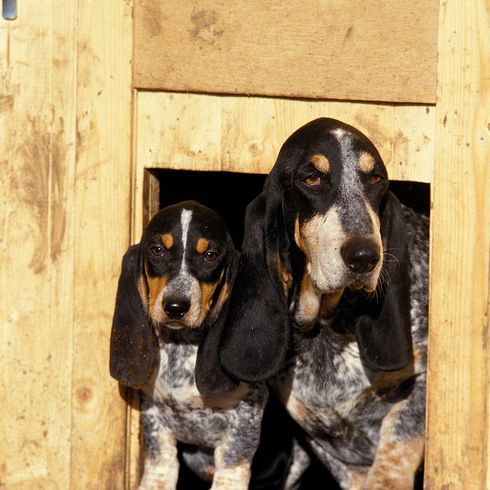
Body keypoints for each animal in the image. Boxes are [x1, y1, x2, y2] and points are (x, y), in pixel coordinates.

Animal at [110, 201, 268, 488]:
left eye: (211, 255)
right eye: (157, 250)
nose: (175, 307)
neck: (180, 345)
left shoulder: (246, 415)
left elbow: (232, 463)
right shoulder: (153, 413)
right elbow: (161, 463)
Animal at [218, 119, 428, 490]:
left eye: (376, 179)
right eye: (312, 178)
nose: (365, 256)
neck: (327, 328)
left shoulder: (421, 380)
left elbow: (396, 445)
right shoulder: (330, 446)